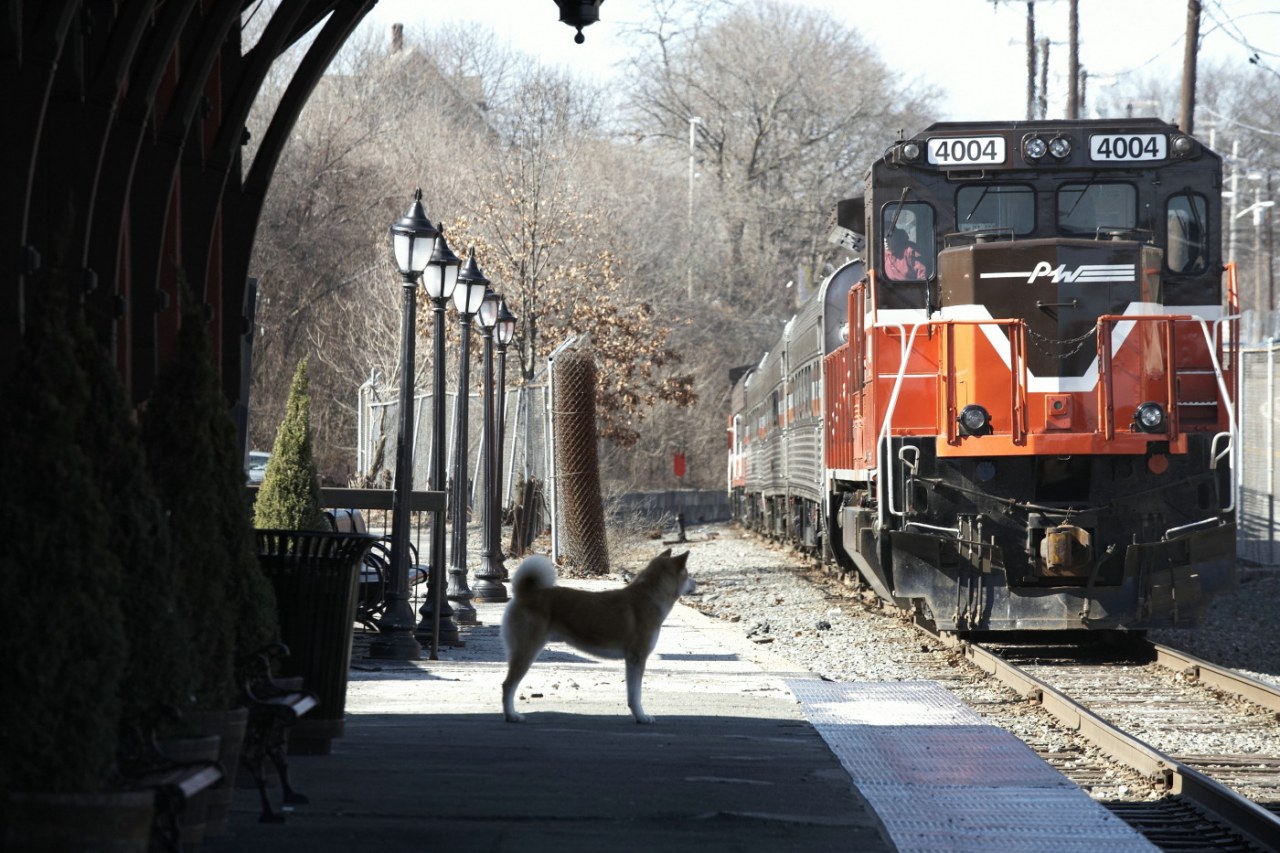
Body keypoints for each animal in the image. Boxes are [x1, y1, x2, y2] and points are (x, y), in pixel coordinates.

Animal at [501, 548, 701, 722]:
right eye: (687, 573)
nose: (696, 583)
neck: (650, 597)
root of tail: (525, 593)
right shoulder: (637, 658)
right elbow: (636, 694)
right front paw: (642, 717)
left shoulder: (631, 661)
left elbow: (631, 695)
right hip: (527, 651)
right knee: (508, 685)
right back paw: (511, 716)